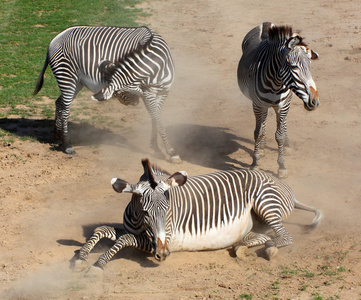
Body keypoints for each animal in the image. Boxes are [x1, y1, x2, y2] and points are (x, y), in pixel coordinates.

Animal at [33, 25, 180, 164]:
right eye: (117, 94)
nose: (135, 102)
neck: (156, 66)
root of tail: (56, 38)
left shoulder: (163, 92)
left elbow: (155, 119)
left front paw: (156, 148)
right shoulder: (148, 93)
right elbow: (158, 121)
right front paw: (172, 152)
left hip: (77, 82)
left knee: (60, 102)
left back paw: (58, 137)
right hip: (67, 76)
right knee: (65, 109)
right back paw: (67, 145)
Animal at [74, 159, 320, 274]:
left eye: (168, 210)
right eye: (145, 213)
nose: (163, 254)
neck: (138, 223)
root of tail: (284, 187)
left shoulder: (167, 238)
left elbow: (124, 239)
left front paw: (99, 264)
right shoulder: (136, 229)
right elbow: (102, 229)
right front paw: (81, 256)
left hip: (265, 203)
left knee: (285, 237)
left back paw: (269, 248)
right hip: (257, 222)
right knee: (260, 236)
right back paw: (241, 247)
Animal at [238, 23, 320, 179]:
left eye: (310, 66)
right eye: (294, 67)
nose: (315, 101)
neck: (275, 84)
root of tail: (266, 23)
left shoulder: (283, 106)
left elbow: (279, 135)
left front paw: (281, 166)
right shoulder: (258, 105)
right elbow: (258, 132)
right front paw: (255, 162)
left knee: (282, 124)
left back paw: (286, 146)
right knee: (263, 123)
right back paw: (262, 147)